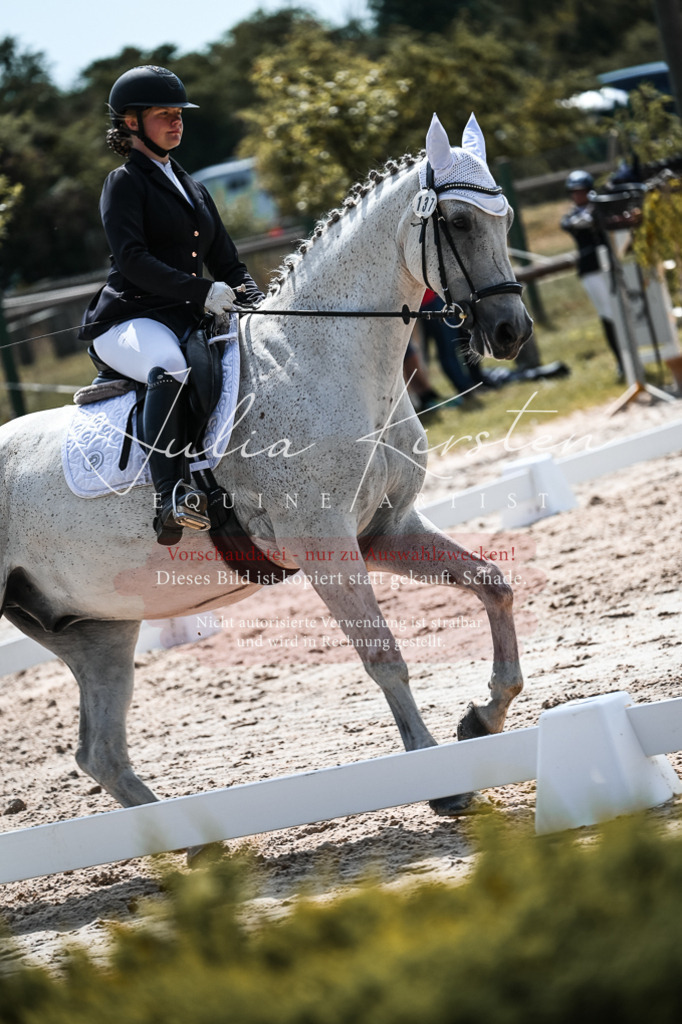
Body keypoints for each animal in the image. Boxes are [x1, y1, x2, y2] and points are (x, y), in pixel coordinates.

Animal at [0, 114, 532, 821]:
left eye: (505, 219)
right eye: (459, 221)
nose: (510, 332)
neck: (321, 358)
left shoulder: (383, 530)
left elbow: (492, 584)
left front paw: (481, 720)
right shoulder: (323, 543)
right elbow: (383, 655)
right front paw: (439, 778)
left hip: (98, 627)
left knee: (100, 753)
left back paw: (193, 842)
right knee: (100, 753)